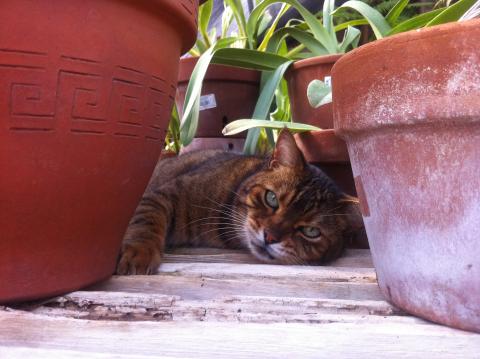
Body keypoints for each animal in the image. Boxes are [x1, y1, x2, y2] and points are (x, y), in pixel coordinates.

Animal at [117, 129, 364, 276]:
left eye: (311, 231)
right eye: (271, 198)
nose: (270, 237)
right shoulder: (163, 194)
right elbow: (147, 220)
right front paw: (140, 252)